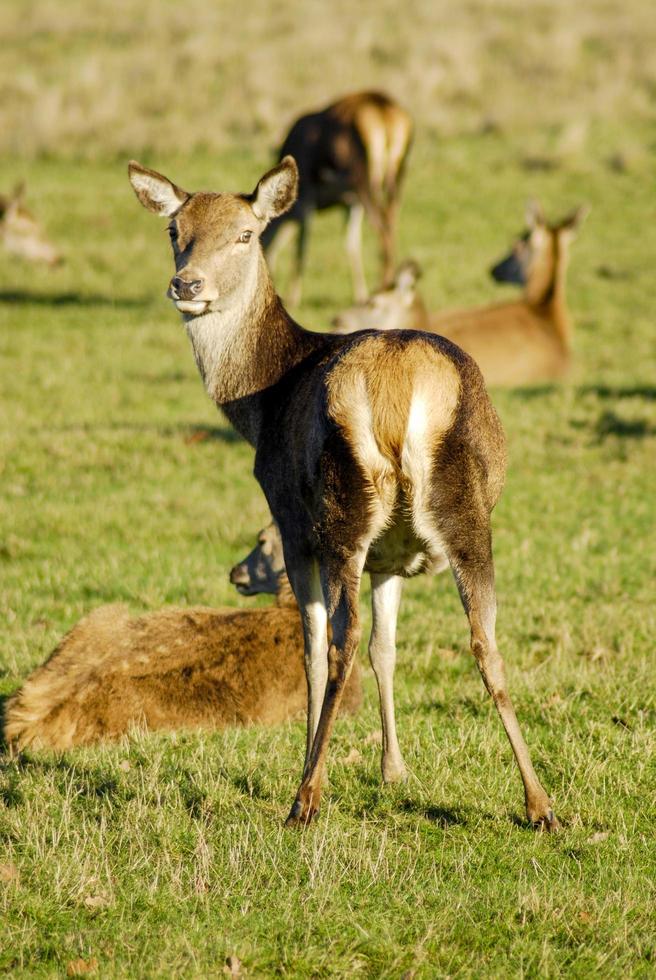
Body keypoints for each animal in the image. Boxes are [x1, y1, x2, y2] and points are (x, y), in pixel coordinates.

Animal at [127, 157, 560, 832]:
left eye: (246, 234)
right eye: (176, 230)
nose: (187, 284)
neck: (260, 403)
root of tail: (397, 386)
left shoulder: (288, 516)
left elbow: (309, 646)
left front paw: (316, 766)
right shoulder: (391, 557)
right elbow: (387, 648)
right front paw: (394, 770)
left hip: (340, 510)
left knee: (339, 639)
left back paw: (304, 799)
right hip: (464, 511)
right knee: (485, 641)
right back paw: (539, 803)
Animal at [260, 93, 410, 306]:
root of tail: (386, 114)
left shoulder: (307, 196)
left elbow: (301, 246)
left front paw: (293, 297)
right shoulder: (350, 202)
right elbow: (352, 243)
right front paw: (359, 294)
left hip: (362, 179)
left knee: (382, 229)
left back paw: (382, 287)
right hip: (396, 180)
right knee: (391, 225)